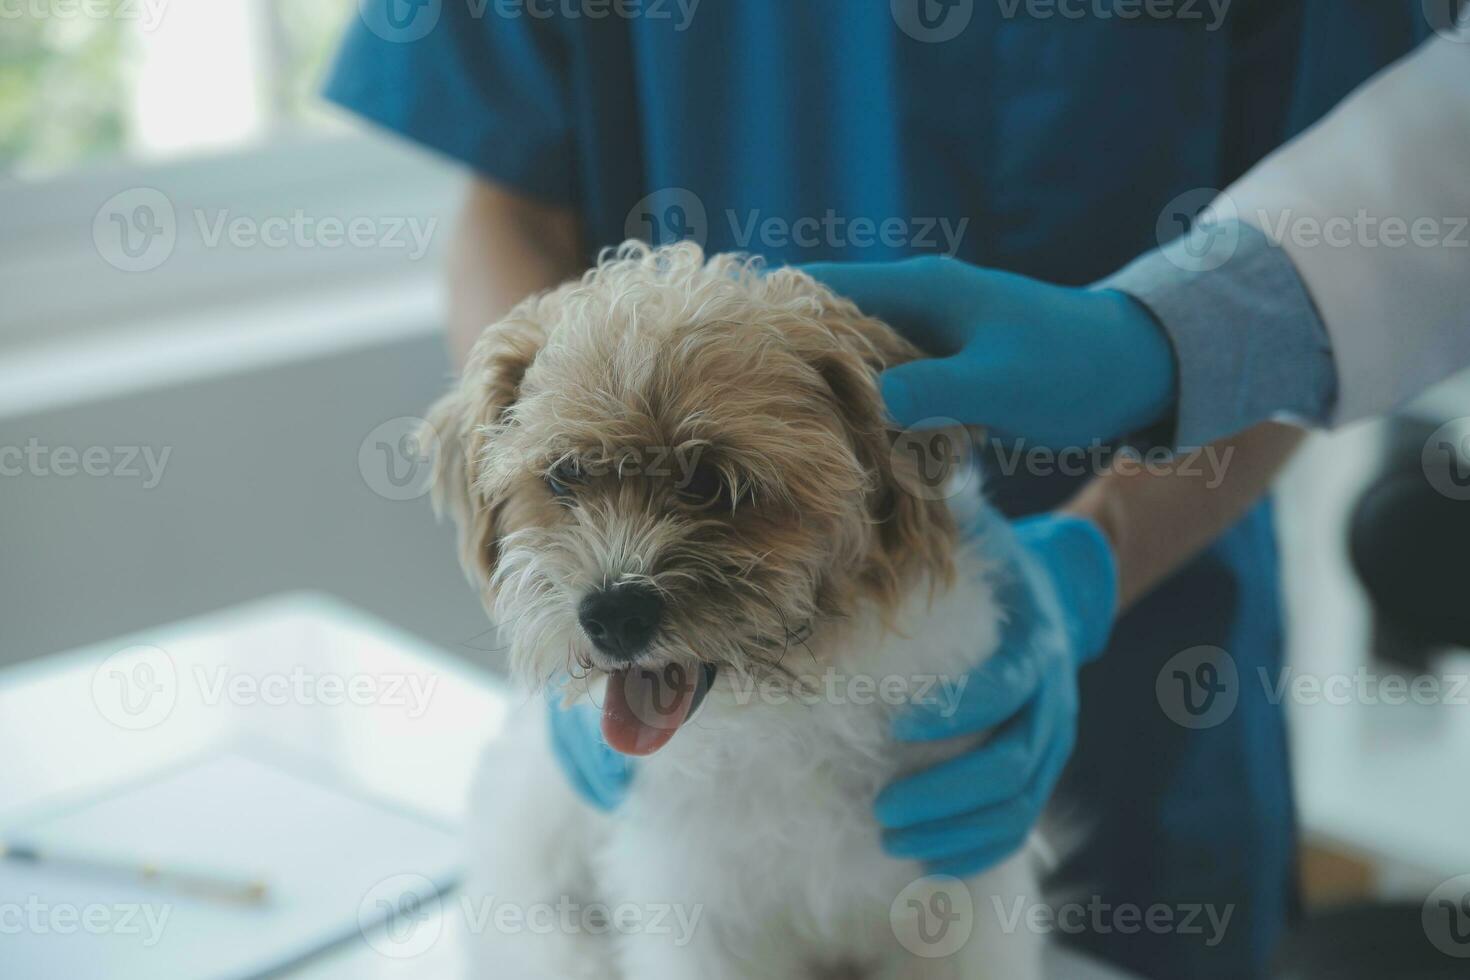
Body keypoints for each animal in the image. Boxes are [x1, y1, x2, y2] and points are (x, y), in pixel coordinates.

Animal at [429, 240, 1046, 975]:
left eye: (710, 482)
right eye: (563, 477)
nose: (613, 613)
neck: (786, 707)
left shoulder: (965, 893)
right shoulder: (693, 915)